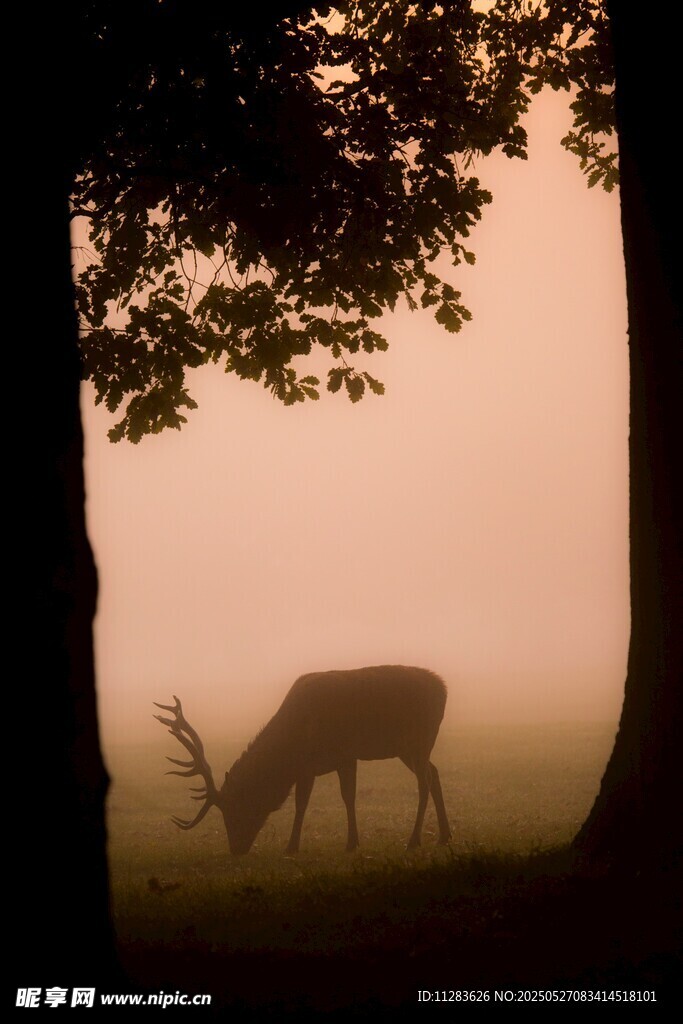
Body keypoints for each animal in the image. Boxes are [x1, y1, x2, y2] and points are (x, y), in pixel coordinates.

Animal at [154, 665, 452, 855]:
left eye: (233, 809)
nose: (236, 849)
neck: (291, 747)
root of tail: (444, 688)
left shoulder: (323, 761)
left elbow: (308, 803)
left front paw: (294, 845)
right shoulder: (337, 760)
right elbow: (342, 797)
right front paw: (352, 842)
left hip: (420, 740)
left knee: (425, 781)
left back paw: (414, 840)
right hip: (409, 748)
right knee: (435, 773)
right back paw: (445, 836)